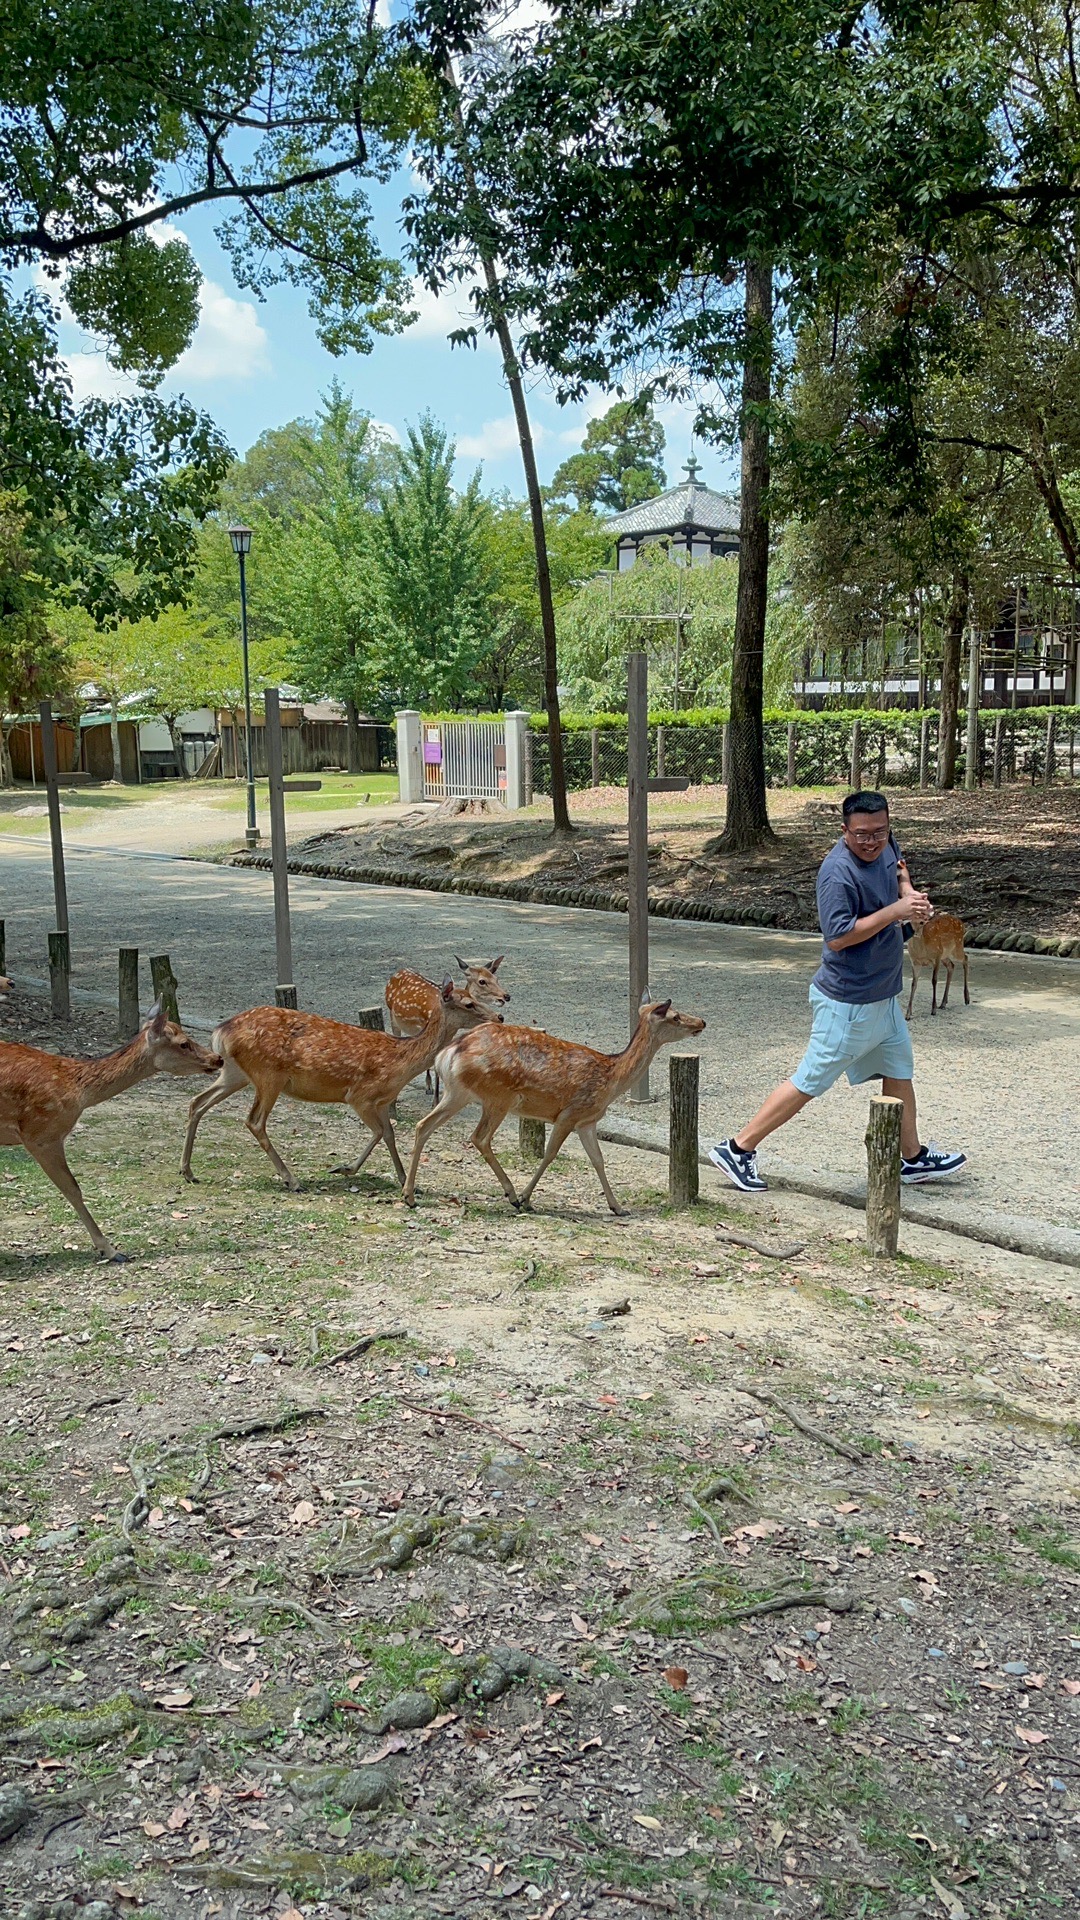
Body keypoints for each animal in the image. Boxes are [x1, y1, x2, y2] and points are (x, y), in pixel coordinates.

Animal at [0, 1006, 220, 1259]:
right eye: (183, 1043)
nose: (218, 1058)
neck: (79, 1092)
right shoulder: (42, 1134)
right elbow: (72, 1188)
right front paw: (111, 1250)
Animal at [179, 983, 491, 1190]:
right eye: (468, 1003)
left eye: (475, 997)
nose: (497, 1017)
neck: (400, 1065)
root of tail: (221, 1031)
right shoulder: (360, 1095)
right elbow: (380, 1132)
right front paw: (345, 1168)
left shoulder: (380, 1101)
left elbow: (389, 1134)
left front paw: (404, 1179)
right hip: (268, 1075)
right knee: (254, 1121)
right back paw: (292, 1180)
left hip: (235, 1073)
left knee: (197, 1102)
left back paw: (188, 1171)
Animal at [403, 1006, 707, 1213]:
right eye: (676, 1016)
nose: (702, 1021)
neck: (610, 1079)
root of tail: (448, 1052)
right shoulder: (569, 1113)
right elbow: (550, 1153)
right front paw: (526, 1197)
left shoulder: (587, 1120)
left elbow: (598, 1159)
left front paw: (617, 1207)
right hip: (497, 1097)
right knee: (479, 1137)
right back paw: (511, 1195)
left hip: (458, 1094)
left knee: (423, 1125)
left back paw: (409, 1194)